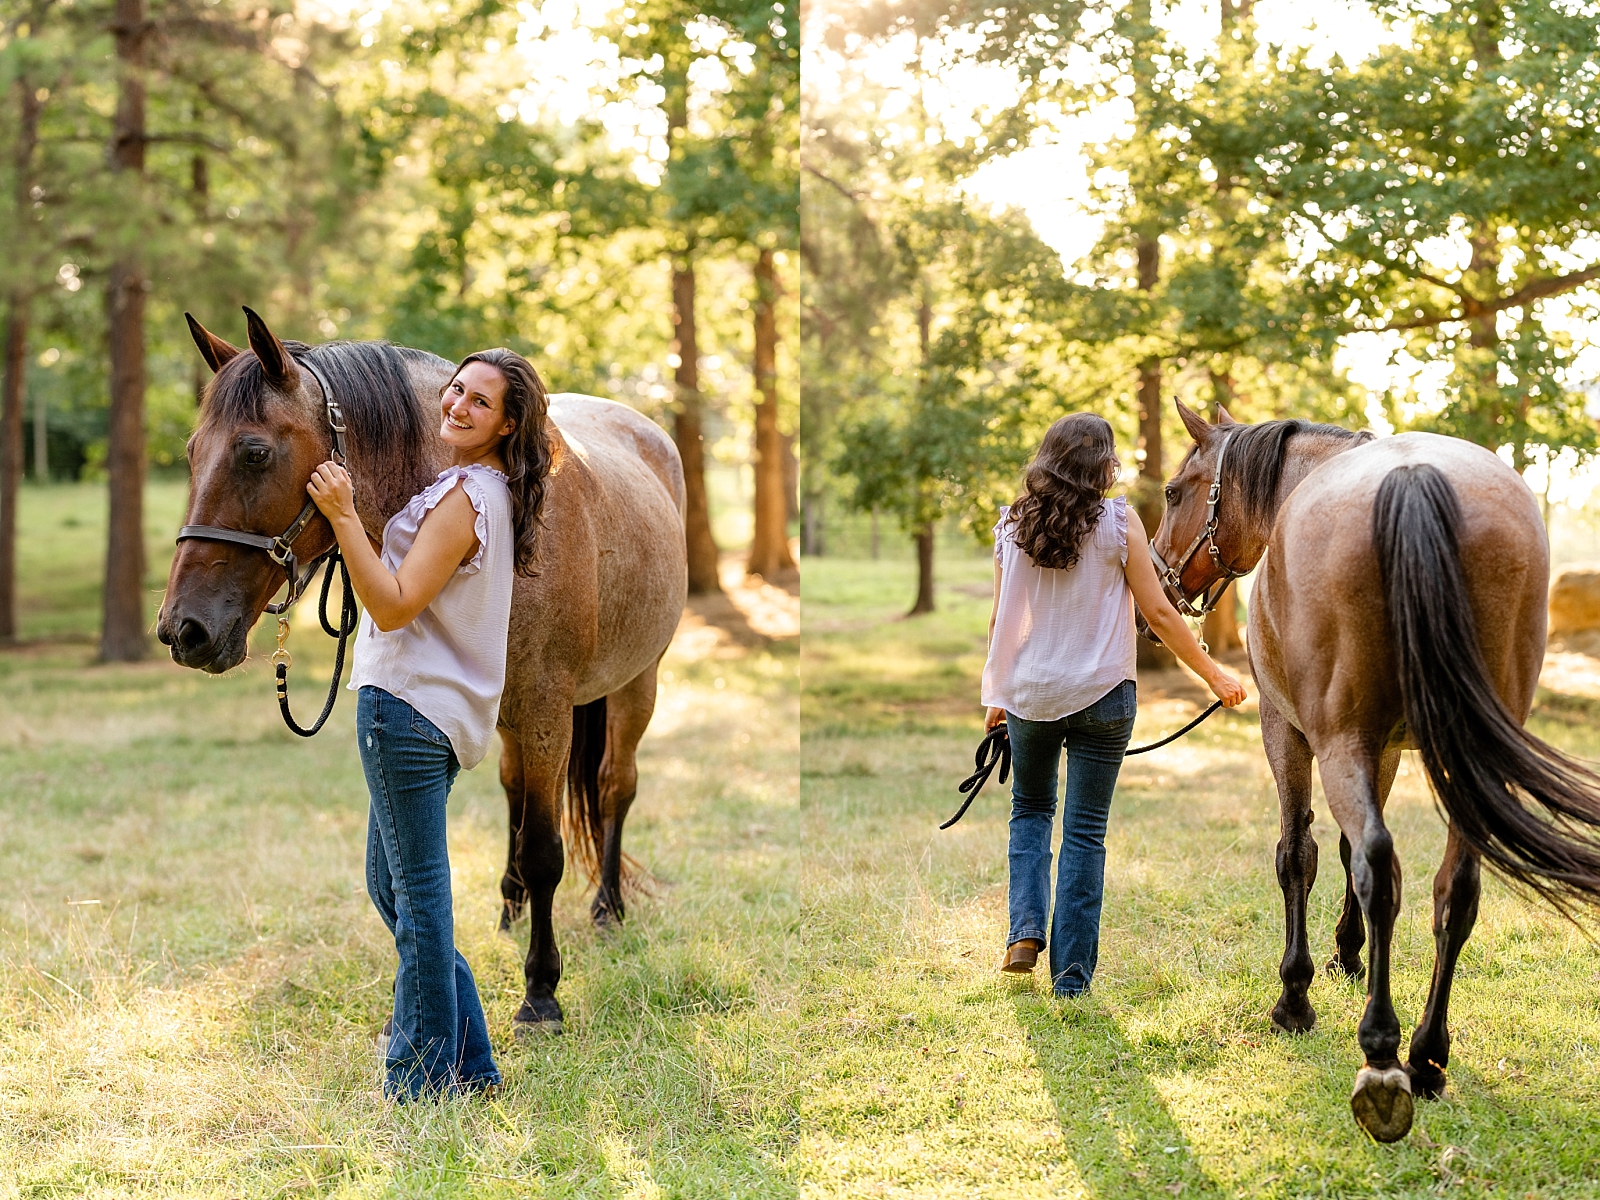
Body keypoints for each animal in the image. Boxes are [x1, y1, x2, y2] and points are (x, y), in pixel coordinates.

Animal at [157, 315, 688, 1036]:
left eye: (255, 453)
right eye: (192, 452)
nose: (183, 630)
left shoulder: (548, 711)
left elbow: (546, 849)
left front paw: (541, 991)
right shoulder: (516, 714)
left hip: (635, 685)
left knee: (612, 788)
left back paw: (607, 909)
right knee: (516, 791)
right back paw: (510, 907)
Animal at [1145, 401, 1600, 1145]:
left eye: (1175, 492)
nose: (1157, 590)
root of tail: (1412, 479)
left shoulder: (1291, 732)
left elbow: (1298, 853)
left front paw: (1296, 993)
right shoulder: (1380, 748)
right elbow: (1343, 846)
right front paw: (1349, 953)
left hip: (1338, 744)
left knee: (1381, 868)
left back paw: (1382, 1054)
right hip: (1456, 761)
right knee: (1455, 889)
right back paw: (1427, 1055)